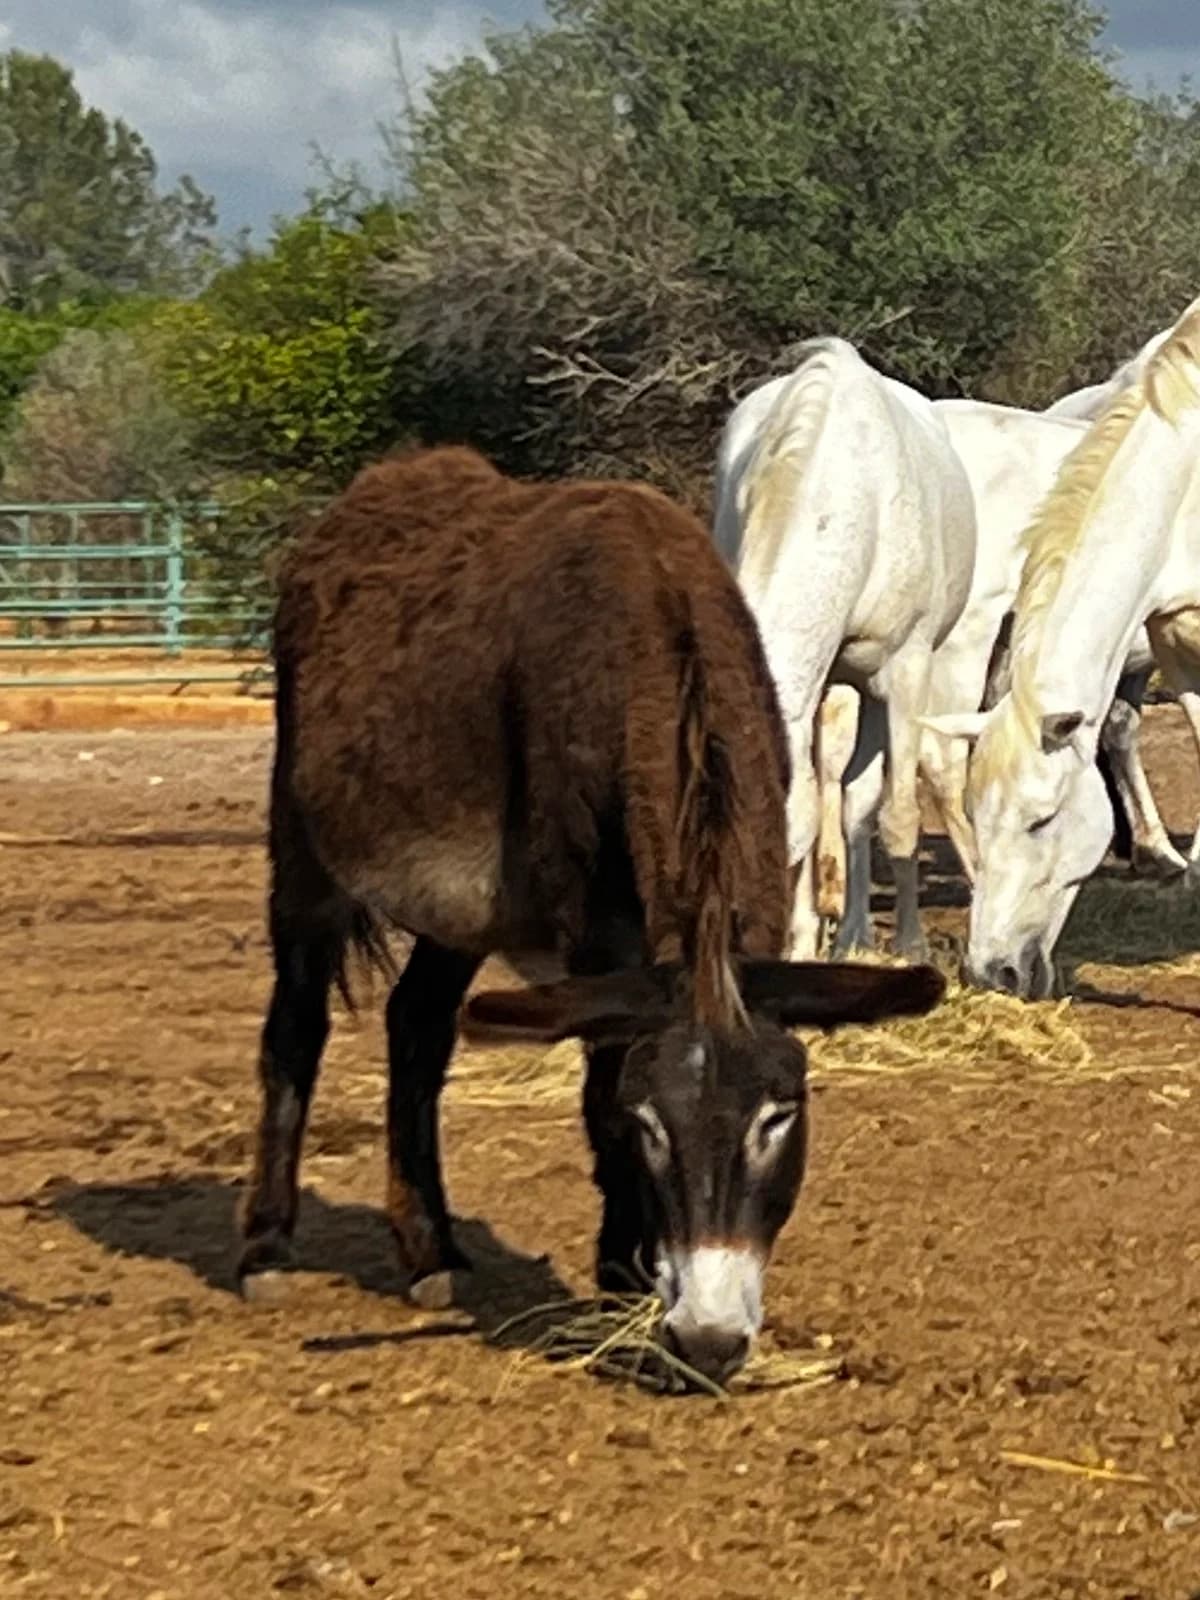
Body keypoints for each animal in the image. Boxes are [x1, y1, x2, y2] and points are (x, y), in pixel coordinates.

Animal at [239, 444, 945, 1382]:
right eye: (648, 1124)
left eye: (779, 1115)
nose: (711, 1339)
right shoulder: (599, 952)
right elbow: (595, 1095)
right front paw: (622, 1290)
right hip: (303, 843)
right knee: (296, 1028)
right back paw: (266, 1248)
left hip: (464, 909)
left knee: (417, 1027)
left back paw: (430, 1251)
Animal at [712, 338, 976, 961]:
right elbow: (819, 804)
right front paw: (803, 942)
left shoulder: (905, 674)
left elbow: (897, 816)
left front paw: (911, 946)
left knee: (864, 802)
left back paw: (862, 934)